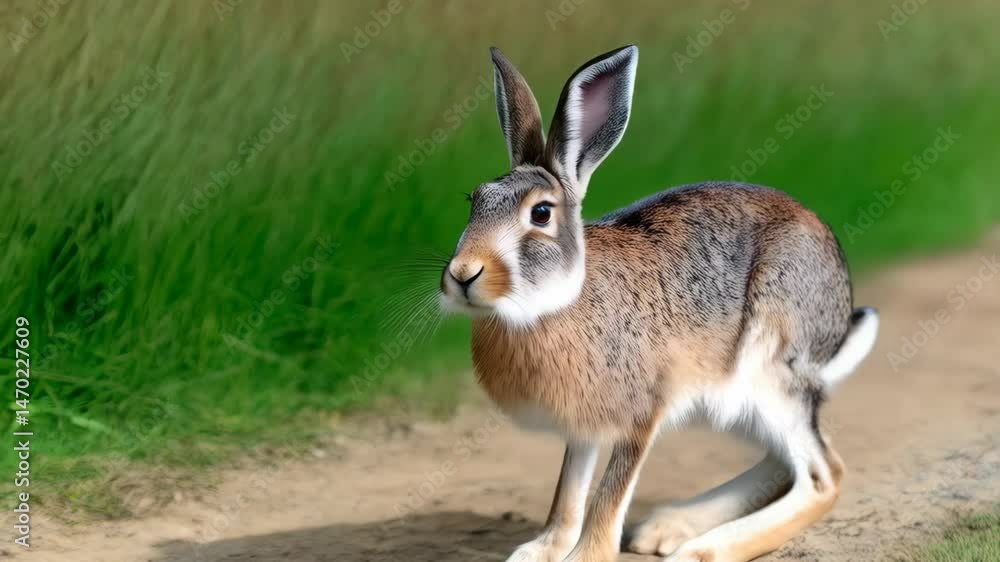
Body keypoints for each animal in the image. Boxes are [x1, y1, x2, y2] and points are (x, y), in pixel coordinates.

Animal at [439, 44, 879, 562]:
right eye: (474, 201)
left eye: (541, 213)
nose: (463, 274)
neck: (550, 305)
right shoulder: (585, 425)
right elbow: (568, 492)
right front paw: (540, 550)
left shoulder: (642, 411)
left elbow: (608, 495)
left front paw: (587, 556)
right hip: (732, 404)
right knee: (783, 459)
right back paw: (666, 528)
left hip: (767, 371)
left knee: (822, 475)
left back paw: (703, 550)